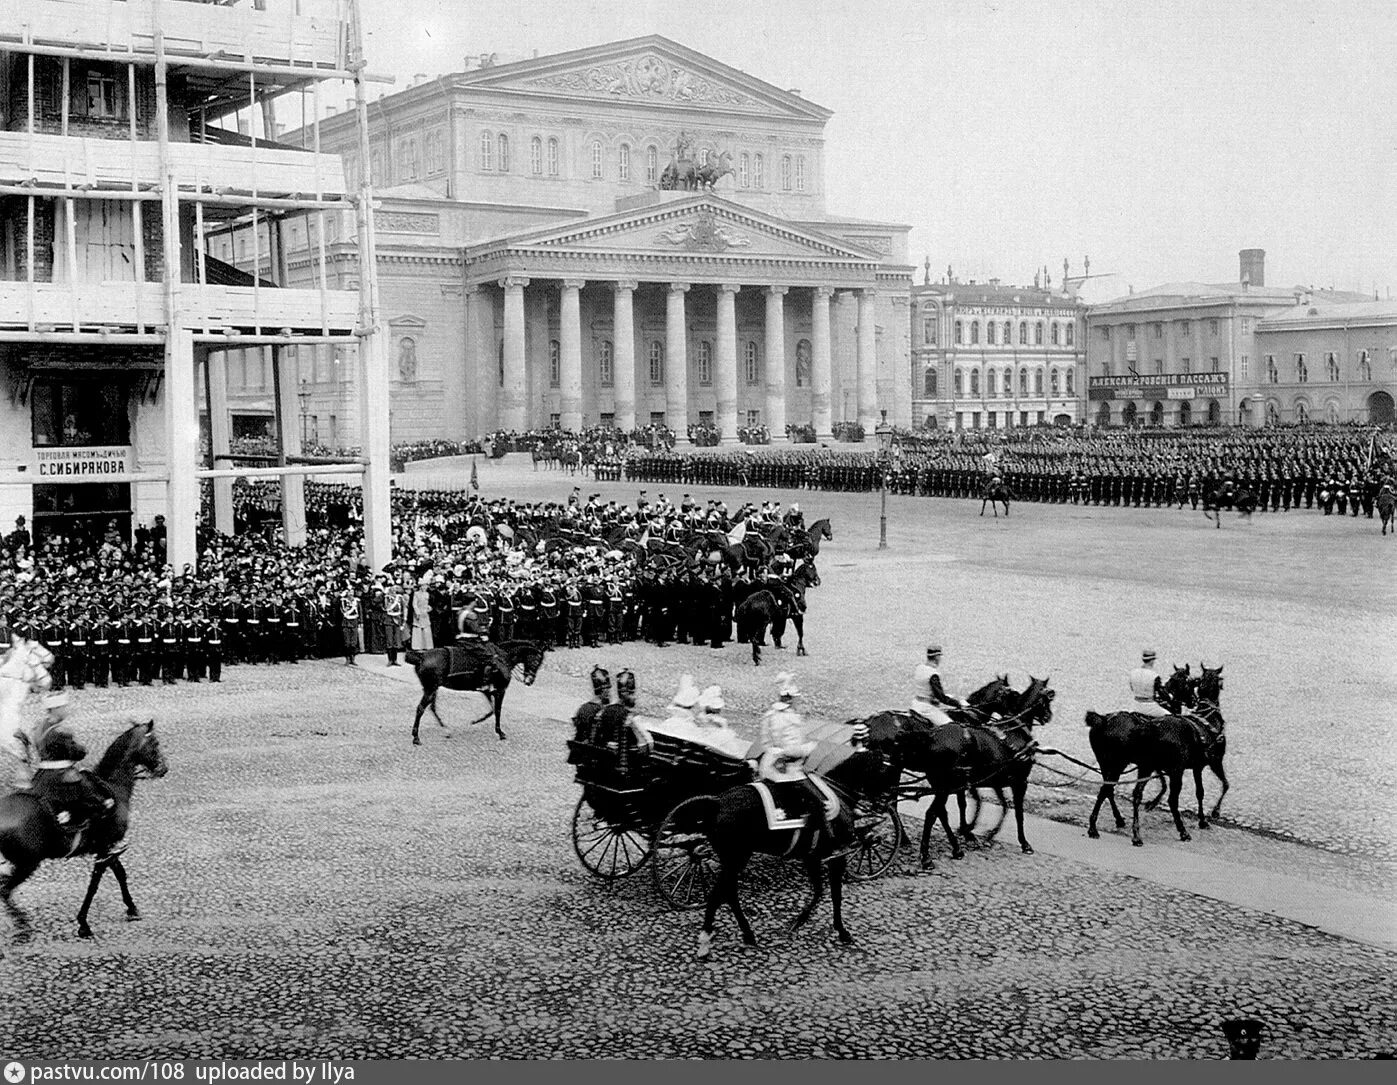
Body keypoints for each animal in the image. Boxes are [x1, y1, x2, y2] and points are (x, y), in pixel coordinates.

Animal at [1, 714, 169, 932]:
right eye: (155, 743)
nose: (164, 768)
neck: (112, 786)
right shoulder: (105, 849)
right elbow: (95, 884)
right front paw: (83, 920)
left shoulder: (107, 850)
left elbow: (120, 874)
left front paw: (131, 907)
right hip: (27, 864)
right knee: (5, 890)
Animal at [405, 639, 544, 742]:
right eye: (537, 660)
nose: (530, 681)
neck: (503, 658)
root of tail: (422, 656)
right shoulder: (500, 690)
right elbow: (497, 710)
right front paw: (500, 732)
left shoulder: (488, 691)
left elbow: (492, 710)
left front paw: (477, 721)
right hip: (430, 689)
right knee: (421, 709)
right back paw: (416, 737)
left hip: (432, 689)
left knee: (432, 708)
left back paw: (446, 729)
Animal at [695, 737, 899, 955]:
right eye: (887, 771)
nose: (887, 803)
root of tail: (717, 803)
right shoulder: (837, 858)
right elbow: (835, 894)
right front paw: (839, 930)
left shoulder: (812, 857)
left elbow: (819, 890)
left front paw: (801, 921)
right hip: (736, 858)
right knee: (722, 893)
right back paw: (708, 939)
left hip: (734, 859)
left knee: (728, 893)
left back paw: (745, 935)